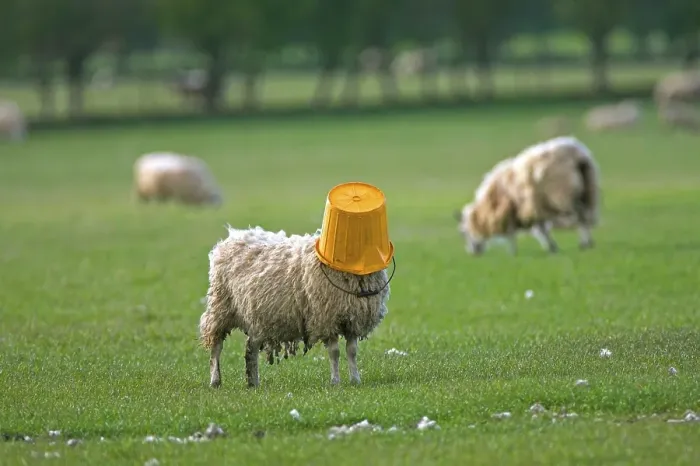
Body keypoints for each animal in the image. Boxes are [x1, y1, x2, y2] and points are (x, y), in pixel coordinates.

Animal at [199, 225, 392, 388]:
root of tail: (234, 236)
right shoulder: (326, 319)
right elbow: (335, 352)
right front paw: (336, 381)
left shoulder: (353, 319)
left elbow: (352, 352)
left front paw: (355, 380)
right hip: (221, 305)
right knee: (216, 345)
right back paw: (215, 380)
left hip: (257, 316)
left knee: (250, 348)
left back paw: (253, 382)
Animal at [454, 136, 599, 256]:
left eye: (463, 232)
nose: (473, 253)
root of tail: (576, 155)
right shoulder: (535, 208)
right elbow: (541, 230)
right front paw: (551, 247)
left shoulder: (510, 211)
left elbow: (513, 233)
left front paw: (513, 252)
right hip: (588, 189)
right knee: (585, 214)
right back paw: (588, 242)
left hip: (564, 196)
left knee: (581, 215)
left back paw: (585, 243)